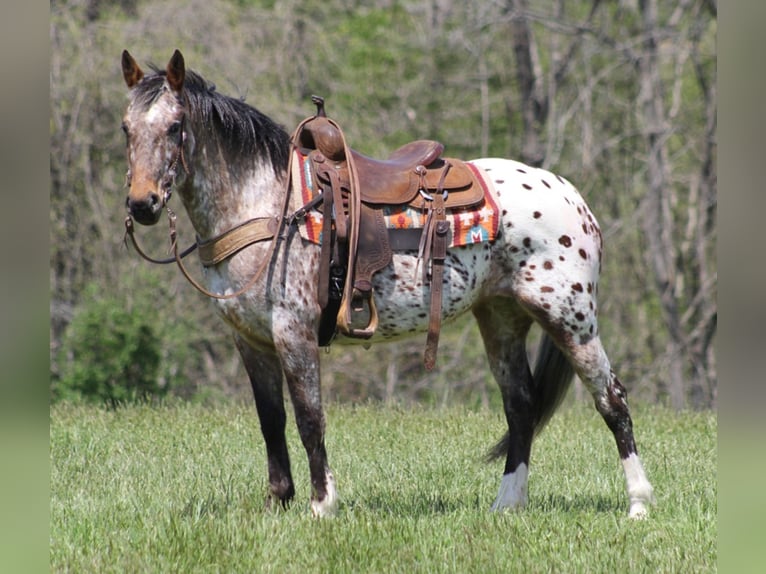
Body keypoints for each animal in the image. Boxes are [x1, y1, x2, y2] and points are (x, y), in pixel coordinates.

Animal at [118, 49, 656, 520]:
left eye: (174, 126)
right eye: (126, 128)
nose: (142, 204)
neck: (270, 205)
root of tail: (573, 197)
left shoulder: (293, 332)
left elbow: (309, 418)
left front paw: (321, 506)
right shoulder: (251, 341)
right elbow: (271, 423)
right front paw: (277, 505)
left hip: (571, 320)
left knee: (612, 399)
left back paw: (638, 504)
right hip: (502, 319)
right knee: (521, 406)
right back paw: (507, 504)